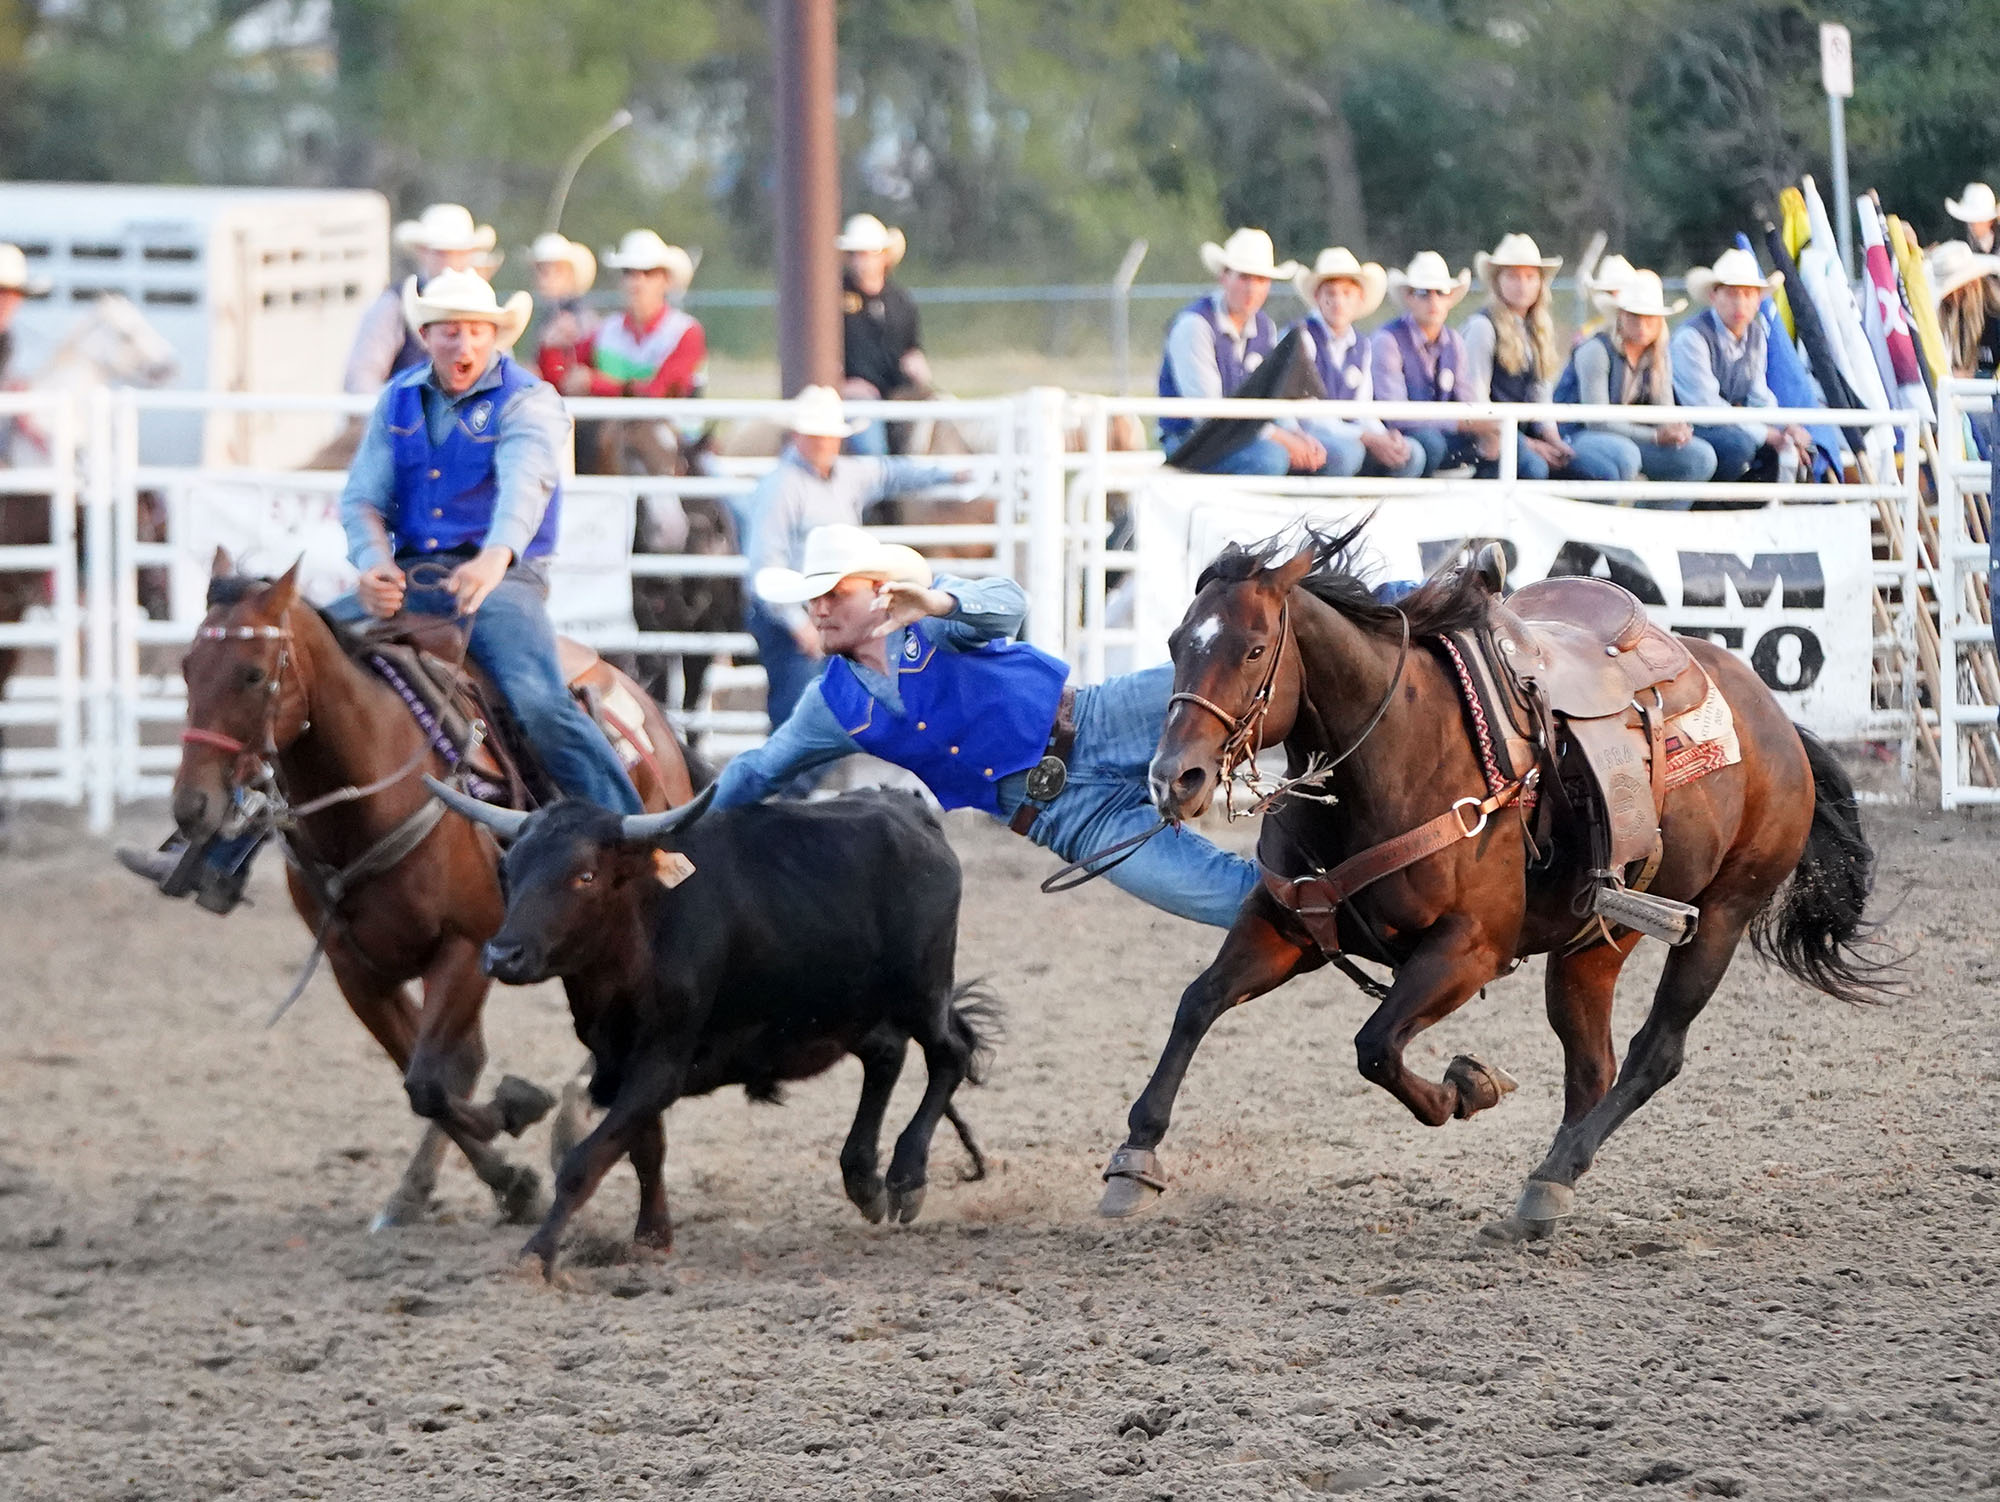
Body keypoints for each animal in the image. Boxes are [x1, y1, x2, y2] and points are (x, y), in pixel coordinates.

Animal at [174, 560, 704, 1232]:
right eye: (187, 667)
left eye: (251, 672)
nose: (193, 807)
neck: (370, 801)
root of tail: (644, 707)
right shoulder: (355, 970)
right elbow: (426, 1080)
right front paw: (505, 1180)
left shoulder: (468, 947)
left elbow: (431, 1081)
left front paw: (520, 1109)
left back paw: (569, 1118)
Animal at [1104, 524, 1880, 1232]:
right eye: (1175, 643)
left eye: (1256, 648)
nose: (1175, 778)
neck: (1393, 757)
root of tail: (1777, 720)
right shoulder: (1288, 922)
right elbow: (1198, 1002)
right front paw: (1134, 1158)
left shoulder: (1469, 948)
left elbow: (1375, 1048)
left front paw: (1467, 1088)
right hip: (1596, 938)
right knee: (1591, 1066)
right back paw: (1552, 1181)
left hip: (1721, 916)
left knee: (1654, 1053)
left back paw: (1552, 1176)